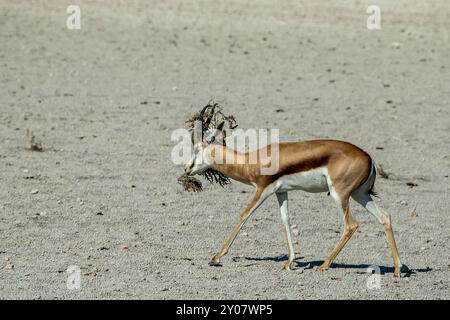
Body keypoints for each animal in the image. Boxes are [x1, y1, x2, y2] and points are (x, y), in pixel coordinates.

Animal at [185, 117, 402, 278]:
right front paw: (289, 262)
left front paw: (216, 257)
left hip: (340, 195)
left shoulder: (262, 189)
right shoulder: (281, 192)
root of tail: (369, 158)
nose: (187, 168)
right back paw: (397, 270)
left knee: (351, 225)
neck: (250, 161)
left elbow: (244, 215)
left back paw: (324, 265)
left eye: (196, 149)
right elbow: (286, 220)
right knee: (385, 217)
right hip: (360, 194)